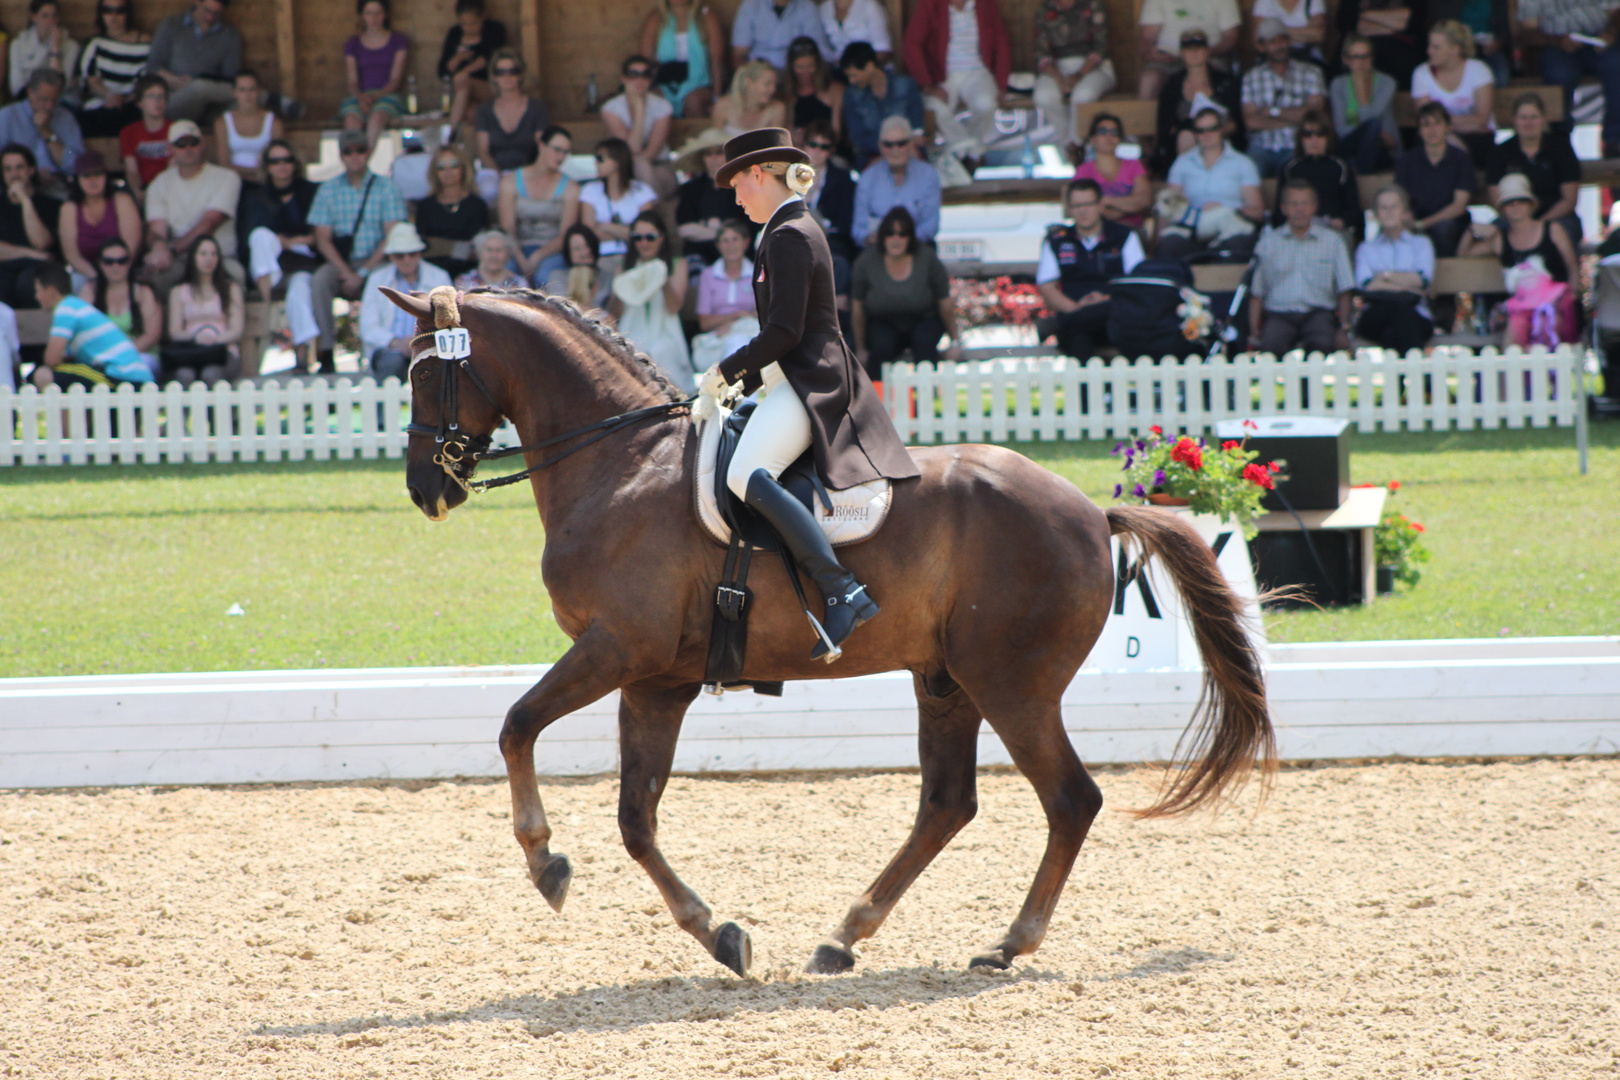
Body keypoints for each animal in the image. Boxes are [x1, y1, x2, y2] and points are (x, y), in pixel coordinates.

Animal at [385, 284, 1270, 977]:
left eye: (427, 372)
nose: (427, 488)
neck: (621, 460)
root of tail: (1090, 510)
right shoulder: (657, 679)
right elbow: (635, 820)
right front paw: (720, 935)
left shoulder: (615, 649)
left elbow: (517, 726)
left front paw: (546, 862)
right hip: (945, 681)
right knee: (947, 804)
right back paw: (845, 936)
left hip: (1011, 685)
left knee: (1069, 800)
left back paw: (1007, 942)